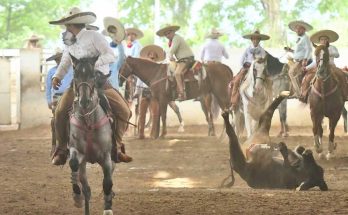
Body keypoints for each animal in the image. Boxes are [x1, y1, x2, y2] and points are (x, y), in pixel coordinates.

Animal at [68, 55, 115, 215]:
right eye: (75, 75)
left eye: (92, 76)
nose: (84, 101)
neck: (88, 122)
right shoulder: (77, 151)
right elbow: (73, 163)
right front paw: (76, 197)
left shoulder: (106, 156)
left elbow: (107, 182)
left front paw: (108, 208)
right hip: (83, 164)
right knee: (86, 189)